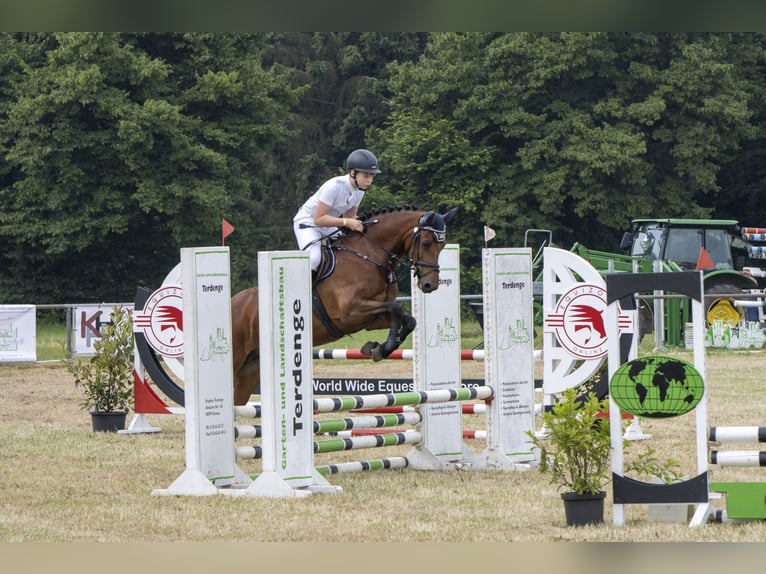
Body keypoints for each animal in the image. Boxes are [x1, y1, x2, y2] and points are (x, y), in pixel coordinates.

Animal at [228, 205, 456, 408]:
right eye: (425, 243)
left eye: (443, 246)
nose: (430, 285)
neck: (369, 255)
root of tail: (232, 303)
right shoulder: (350, 312)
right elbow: (396, 308)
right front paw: (381, 348)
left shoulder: (372, 319)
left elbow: (407, 319)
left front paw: (378, 348)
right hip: (237, 358)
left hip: (251, 369)